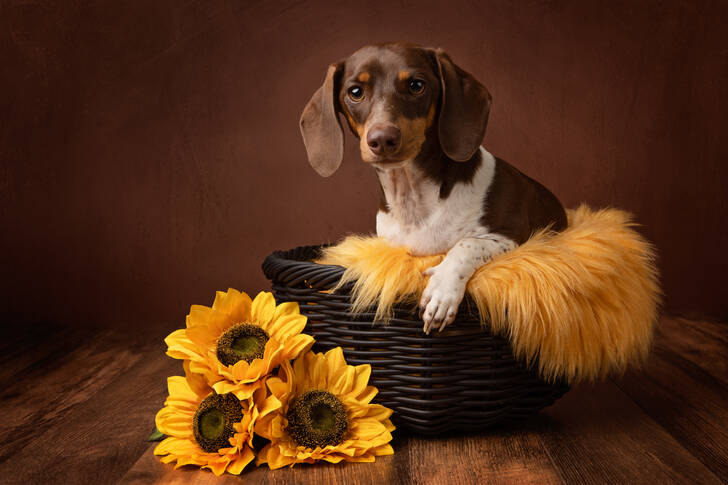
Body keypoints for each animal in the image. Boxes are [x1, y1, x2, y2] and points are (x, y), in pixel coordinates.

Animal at [298, 42, 564, 332]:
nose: (382, 140)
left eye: (416, 85)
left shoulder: (512, 238)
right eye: (355, 92)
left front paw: (441, 292)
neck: (414, 201)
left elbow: (466, 244)